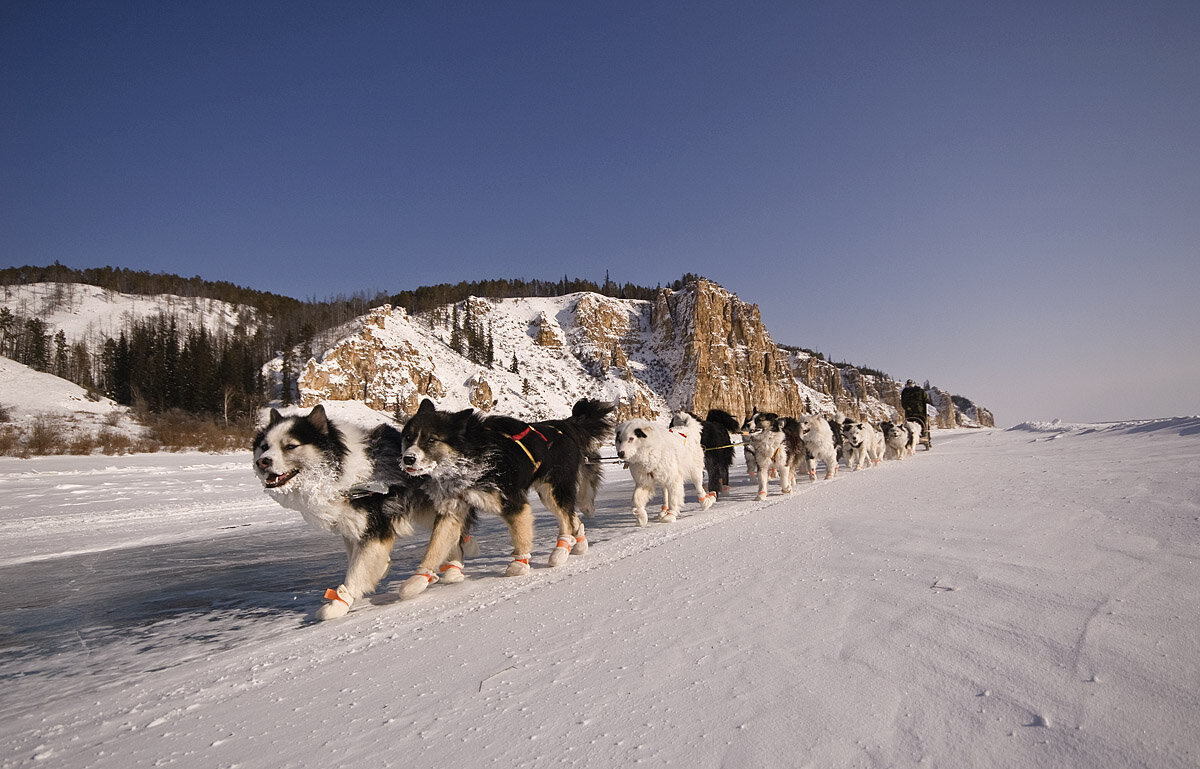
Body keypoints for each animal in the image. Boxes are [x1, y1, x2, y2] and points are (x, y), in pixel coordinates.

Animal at [250, 405, 475, 619]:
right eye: (264, 447)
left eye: (290, 446)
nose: (262, 462)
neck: (345, 473)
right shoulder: (351, 526)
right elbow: (357, 558)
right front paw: (381, 567)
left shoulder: (375, 528)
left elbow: (356, 570)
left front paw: (339, 603)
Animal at [398, 395, 614, 595]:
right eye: (408, 437)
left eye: (431, 439)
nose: (408, 458)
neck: (471, 456)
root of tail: (561, 425)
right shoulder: (452, 510)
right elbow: (435, 546)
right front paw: (419, 579)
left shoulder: (513, 502)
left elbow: (520, 535)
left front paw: (519, 563)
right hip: (550, 494)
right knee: (572, 516)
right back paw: (578, 542)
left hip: (552, 490)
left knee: (566, 519)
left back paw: (560, 551)